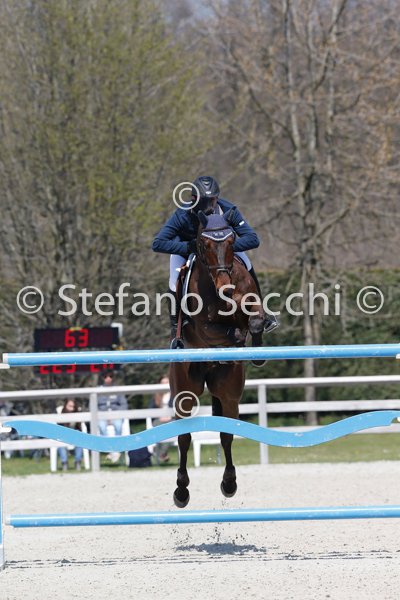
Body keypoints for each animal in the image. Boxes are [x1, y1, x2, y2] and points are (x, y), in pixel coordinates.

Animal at [169, 209, 267, 508]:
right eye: (202, 244)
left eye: (232, 240)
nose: (225, 287)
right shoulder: (205, 327)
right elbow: (224, 329)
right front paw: (236, 336)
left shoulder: (250, 303)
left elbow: (255, 320)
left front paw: (253, 342)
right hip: (184, 390)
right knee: (184, 437)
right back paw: (181, 491)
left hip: (228, 392)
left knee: (226, 434)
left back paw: (229, 484)